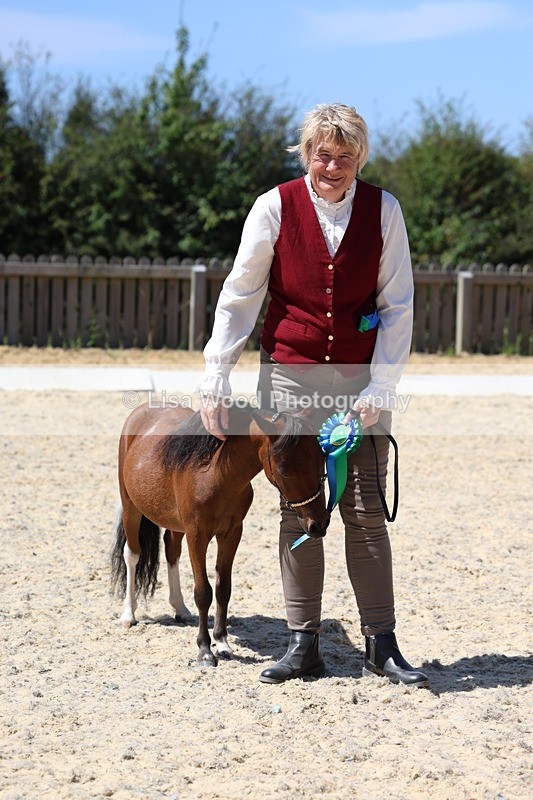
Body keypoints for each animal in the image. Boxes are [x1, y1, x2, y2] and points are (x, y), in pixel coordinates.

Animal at [110, 402, 330, 666]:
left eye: (321, 460)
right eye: (285, 470)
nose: (318, 524)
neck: (215, 475)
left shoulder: (231, 533)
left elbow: (223, 588)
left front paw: (223, 643)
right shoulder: (197, 535)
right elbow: (203, 592)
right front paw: (205, 650)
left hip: (174, 524)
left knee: (171, 550)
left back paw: (180, 609)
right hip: (130, 507)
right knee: (132, 555)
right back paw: (128, 614)